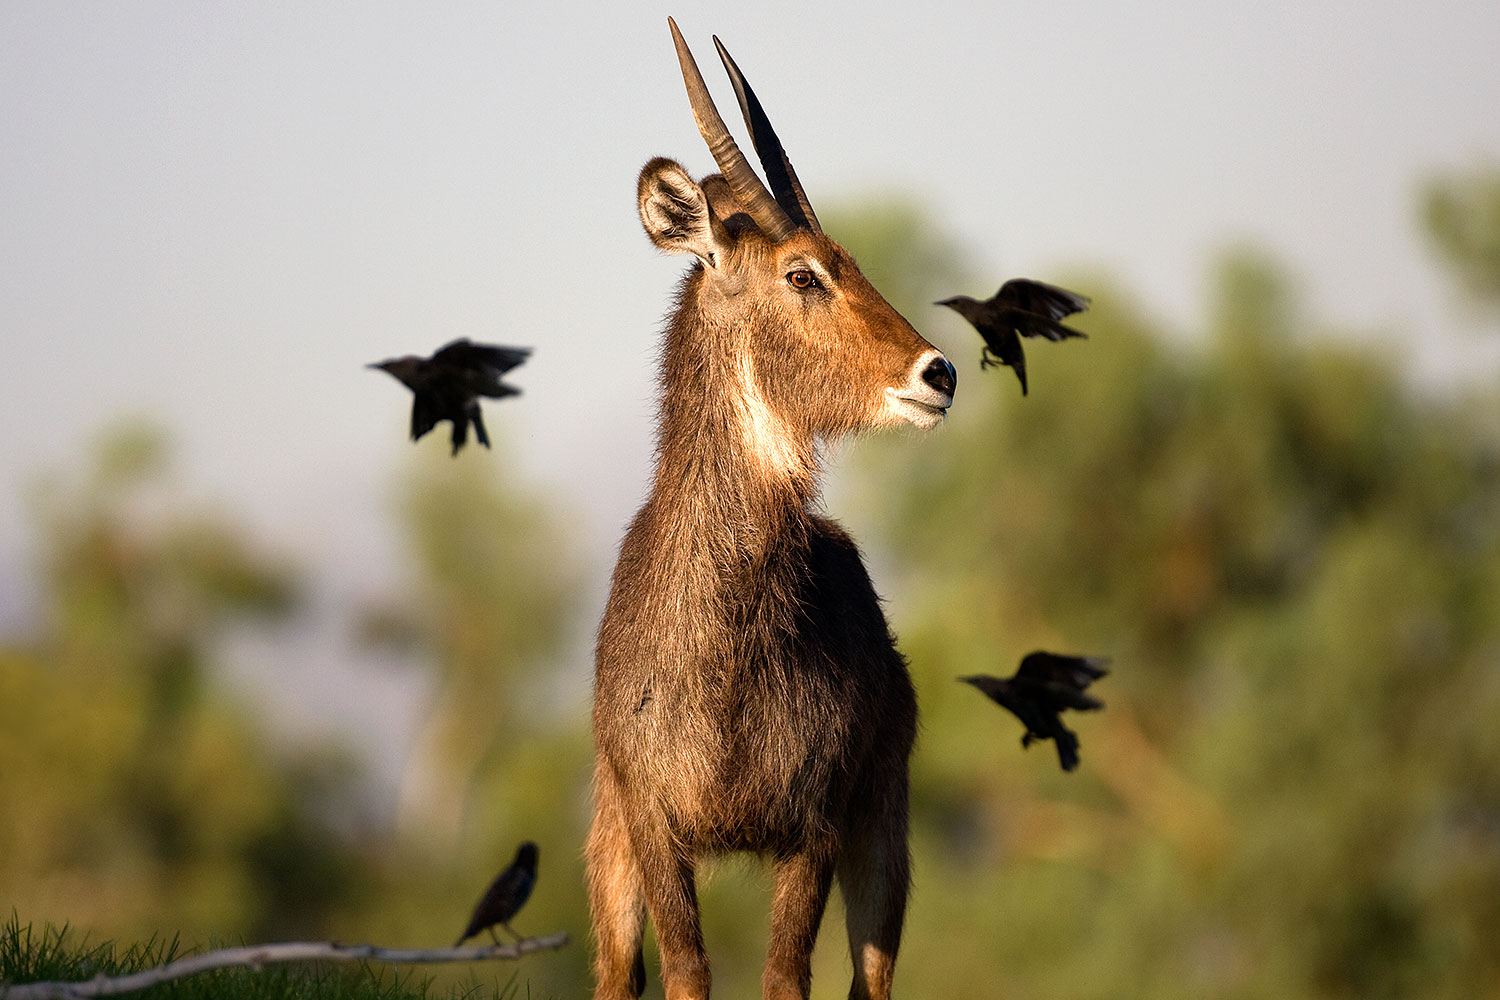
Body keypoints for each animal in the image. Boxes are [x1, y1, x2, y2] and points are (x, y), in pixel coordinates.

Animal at [587, 19, 956, 1000]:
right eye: (804, 274)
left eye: (852, 262)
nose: (939, 371)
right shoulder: (655, 827)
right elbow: (683, 973)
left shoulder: (814, 830)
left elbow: (786, 977)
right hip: (608, 847)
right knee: (614, 975)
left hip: (884, 840)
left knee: (874, 979)